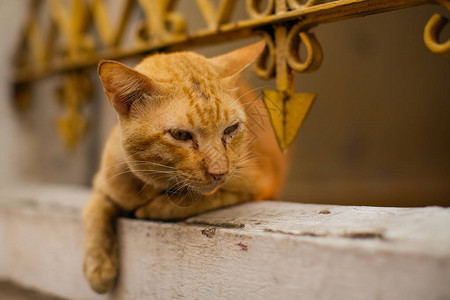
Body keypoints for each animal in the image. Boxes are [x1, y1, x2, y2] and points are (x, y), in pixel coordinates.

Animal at [82, 41, 290, 294]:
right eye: (180, 135)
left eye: (231, 129)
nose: (219, 171)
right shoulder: (103, 185)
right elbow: (94, 214)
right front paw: (99, 267)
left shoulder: (258, 183)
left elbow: (200, 199)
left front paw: (154, 208)